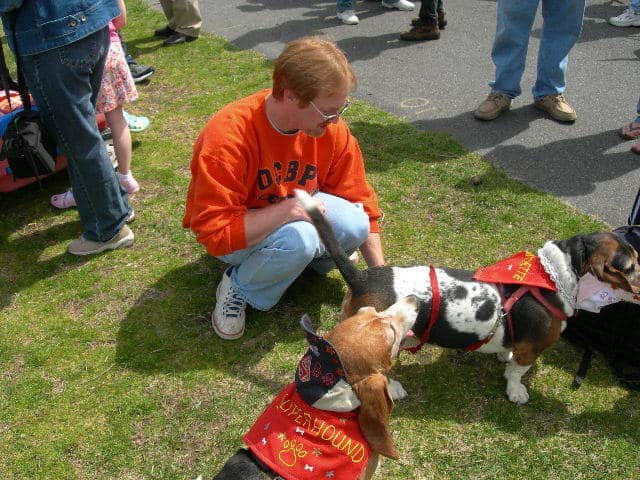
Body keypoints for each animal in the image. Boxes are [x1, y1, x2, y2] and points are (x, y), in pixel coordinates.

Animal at [296, 189, 640, 404]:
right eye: (631, 266)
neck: (555, 274)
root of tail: (361, 276)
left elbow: (509, 354)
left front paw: (504, 356)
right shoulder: (532, 350)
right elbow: (518, 373)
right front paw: (516, 392)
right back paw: (393, 388)